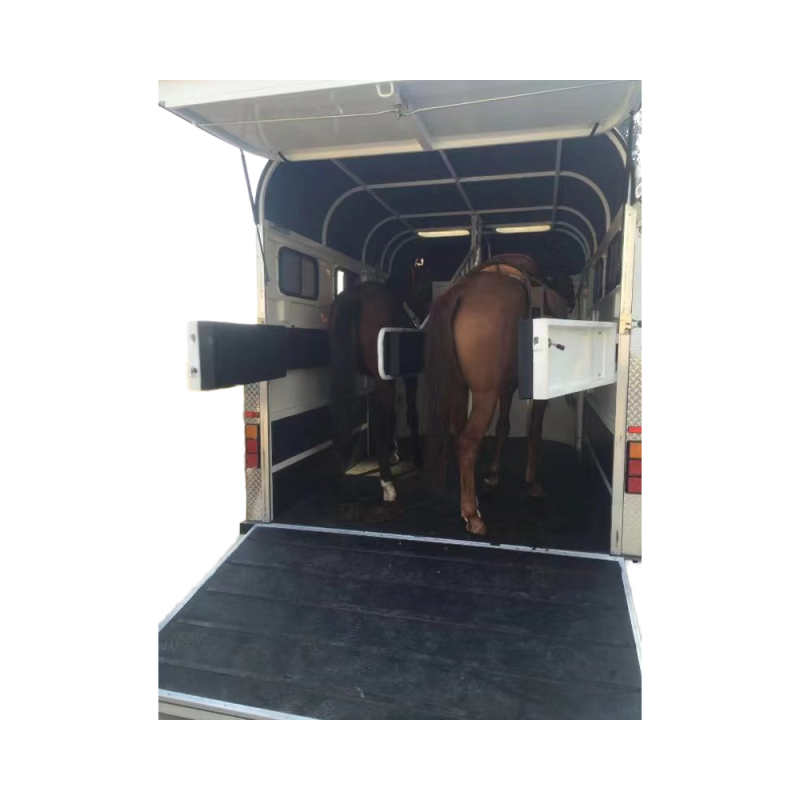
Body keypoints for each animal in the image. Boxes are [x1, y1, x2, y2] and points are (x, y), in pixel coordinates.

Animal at [328, 260, 430, 503]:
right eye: (424, 285)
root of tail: (355, 297)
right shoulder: (407, 377)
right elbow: (408, 413)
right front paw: (416, 458)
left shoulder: (376, 378)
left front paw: (394, 451)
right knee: (384, 416)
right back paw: (387, 481)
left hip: (339, 371)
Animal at [423, 253, 575, 535]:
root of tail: (461, 292)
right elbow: (534, 428)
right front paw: (533, 483)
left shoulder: (507, 388)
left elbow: (504, 426)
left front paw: (493, 474)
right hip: (485, 395)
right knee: (468, 442)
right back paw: (472, 515)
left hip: (460, 389)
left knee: (461, 435)